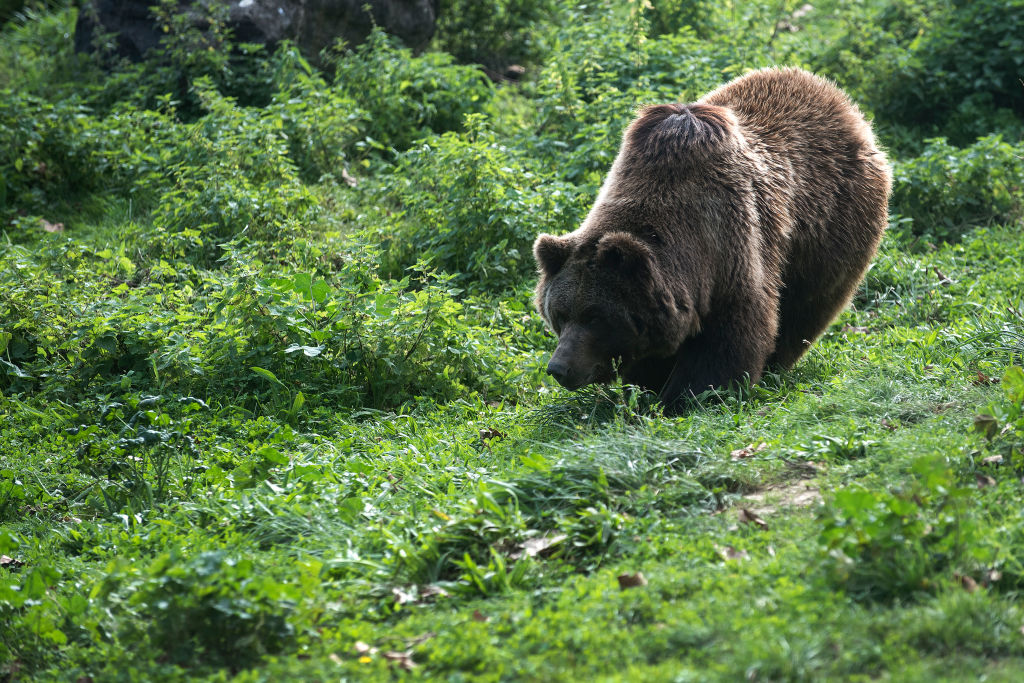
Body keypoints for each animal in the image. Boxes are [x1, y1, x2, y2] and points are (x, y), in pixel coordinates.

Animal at [532, 67, 891, 406]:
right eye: (559, 314)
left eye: (595, 317)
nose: (559, 368)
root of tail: (841, 102)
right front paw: (648, 386)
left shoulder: (730, 248)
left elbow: (730, 339)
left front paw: (688, 396)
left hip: (831, 224)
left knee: (806, 305)